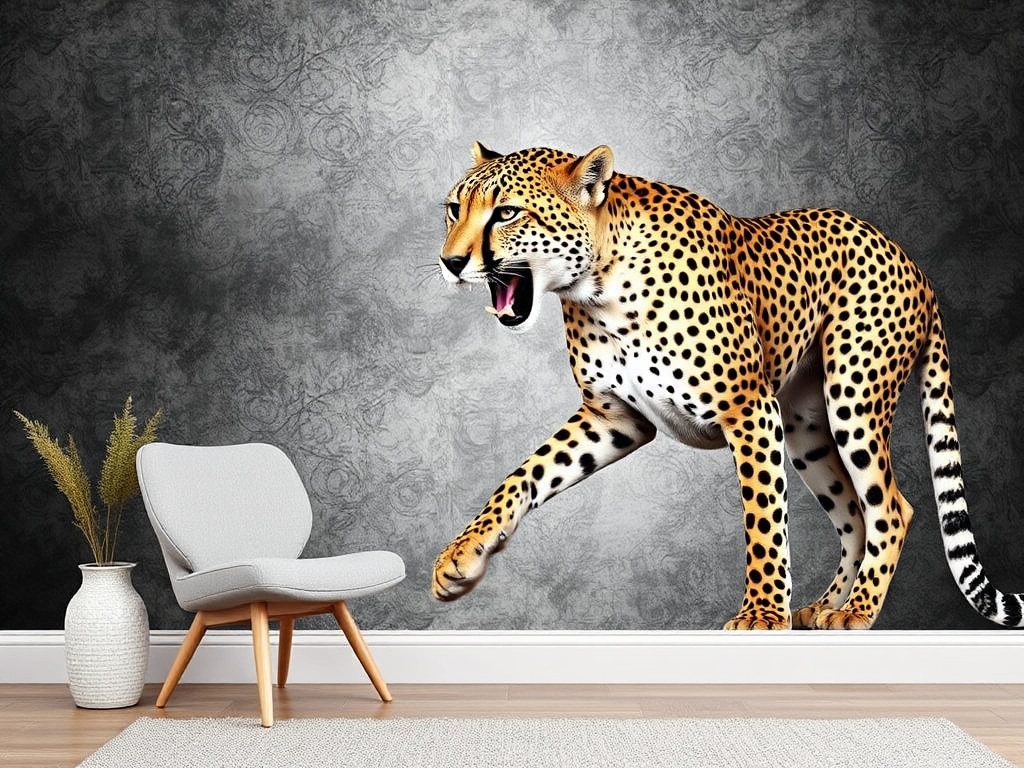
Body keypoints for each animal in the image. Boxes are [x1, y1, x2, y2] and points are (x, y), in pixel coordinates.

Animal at [432, 142, 1023, 630]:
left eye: (507, 212)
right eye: (454, 209)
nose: (451, 262)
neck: (598, 287)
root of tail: (908, 257)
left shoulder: (749, 410)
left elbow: (762, 517)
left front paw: (761, 614)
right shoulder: (614, 419)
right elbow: (527, 472)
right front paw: (464, 554)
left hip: (852, 400)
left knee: (891, 508)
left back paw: (856, 609)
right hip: (806, 430)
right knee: (854, 513)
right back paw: (826, 605)